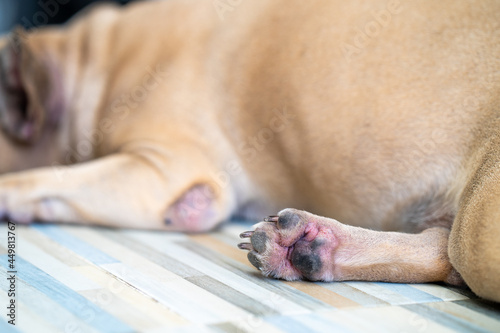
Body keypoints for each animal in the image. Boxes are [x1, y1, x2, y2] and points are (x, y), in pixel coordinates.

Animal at [0, 0, 500, 300]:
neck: (93, 60)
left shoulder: (165, 171)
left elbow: (37, 179)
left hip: (478, 227)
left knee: (453, 257)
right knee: (438, 250)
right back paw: (313, 246)